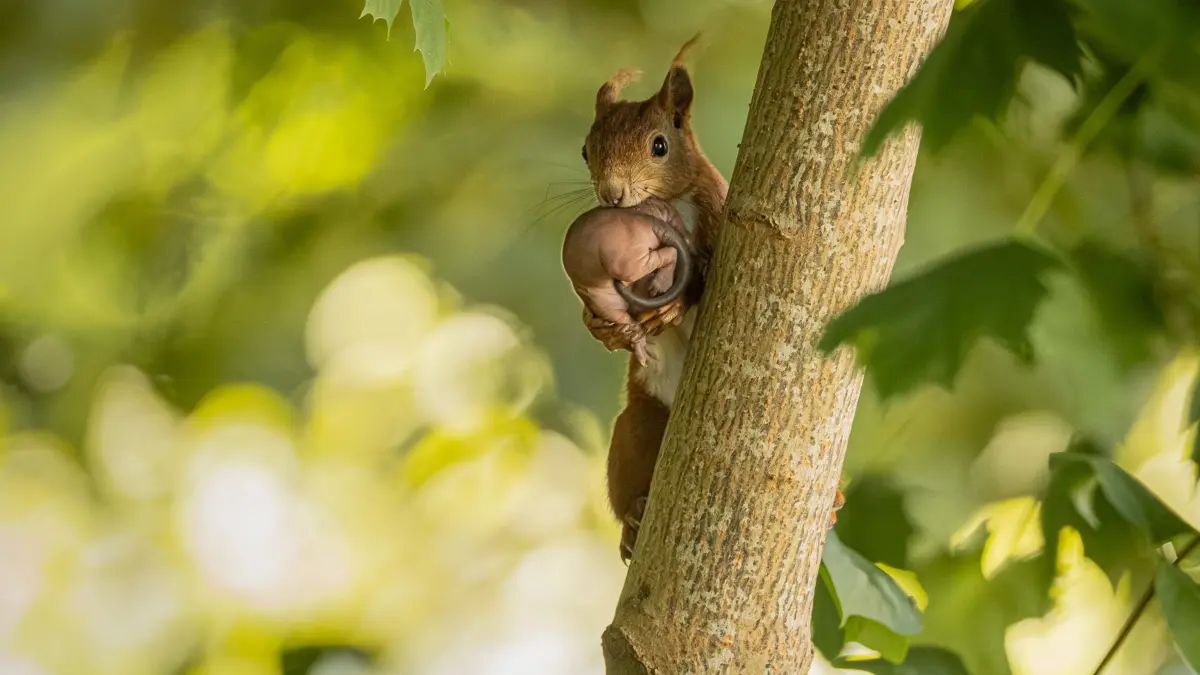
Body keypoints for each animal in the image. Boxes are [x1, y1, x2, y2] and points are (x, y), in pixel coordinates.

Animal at [577, 35, 844, 561]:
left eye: (659, 145)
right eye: (585, 151)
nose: (612, 194)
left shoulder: (718, 214)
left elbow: (706, 271)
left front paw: (676, 304)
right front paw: (597, 325)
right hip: (637, 426)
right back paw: (632, 520)